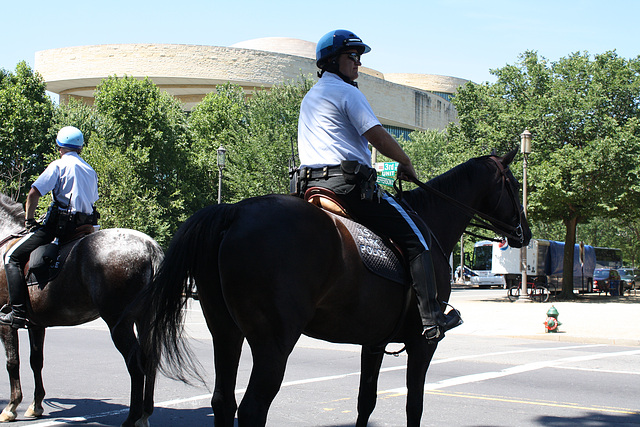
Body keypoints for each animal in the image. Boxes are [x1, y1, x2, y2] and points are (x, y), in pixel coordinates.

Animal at [0, 195, 162, 427]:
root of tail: (149, 246)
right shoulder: (36, 325)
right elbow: (36, 361)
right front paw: (36, 405)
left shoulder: (5, 324)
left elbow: (12, 362)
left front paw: (11, 407)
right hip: (144, 319)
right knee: (150, 360)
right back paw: (145, 414)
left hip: (118, 323)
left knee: (135, 363)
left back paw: (132, 418)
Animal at [146, 150, 536, 424]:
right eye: (513, 184)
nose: (525, 232)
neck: (431, 221)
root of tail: (233, 212)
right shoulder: (423, 343)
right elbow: (414, 405)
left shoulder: (375, 341)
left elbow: (367, 402)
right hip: (273, 343)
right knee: (253, 408)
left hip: (225, 332)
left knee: (223, 401)